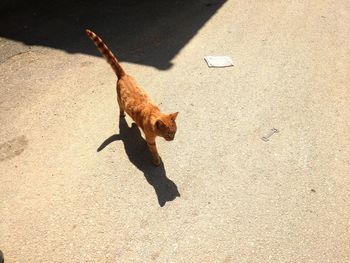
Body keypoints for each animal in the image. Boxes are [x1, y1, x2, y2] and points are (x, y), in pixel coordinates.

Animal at [85, 29, 178, 166]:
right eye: (169, 133)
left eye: (175, 131)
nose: (173, 138)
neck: (153, 113)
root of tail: (123, 75)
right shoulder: (151, 140)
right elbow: (153, 150)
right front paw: (156, 161)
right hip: (119, 99)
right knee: (120, 107)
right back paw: (122, 114)